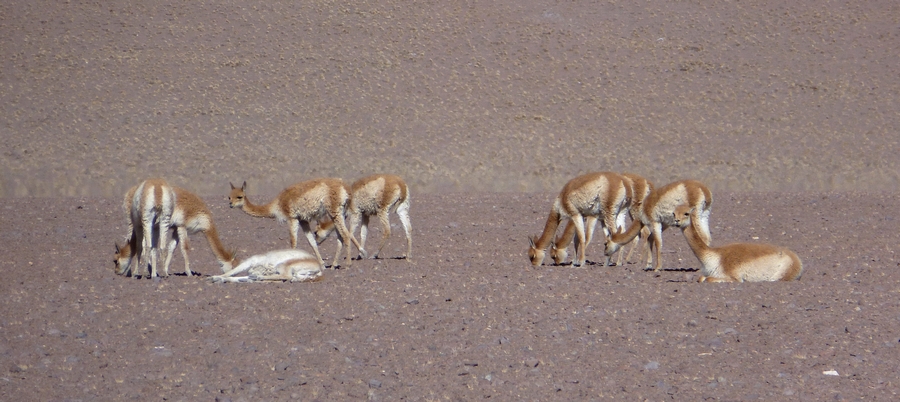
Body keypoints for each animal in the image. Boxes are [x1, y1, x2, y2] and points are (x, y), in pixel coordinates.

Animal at [228, 179, 365, 268]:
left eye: (240, 196)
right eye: (229, 196)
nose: (230, 204)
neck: (276, 205)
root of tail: (345, 188)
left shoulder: (292, 217)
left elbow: (293, 242)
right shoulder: (303, 220)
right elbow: (312, 242)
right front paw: (322, 264)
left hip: (335, 211)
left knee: (346, 235)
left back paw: (348, 264)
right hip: (338, 213)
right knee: (341, 236)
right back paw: (334, 264)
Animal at [673, 205, 803, 282]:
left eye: (686, 213)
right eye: (673, 213)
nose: (676, 221)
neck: (715, 256)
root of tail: (796, 259)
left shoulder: (733, 276)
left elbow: (707, 279)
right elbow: (701, 278)